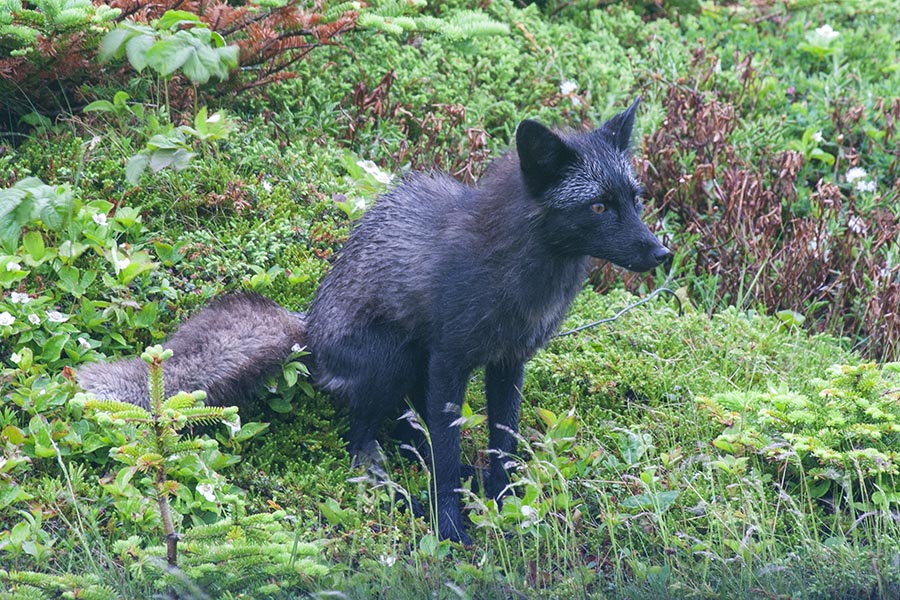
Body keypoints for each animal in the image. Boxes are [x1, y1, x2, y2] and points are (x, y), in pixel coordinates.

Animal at [77, 98, 671, 544]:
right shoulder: (450, 360)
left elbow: (501, 441)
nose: (662, 253)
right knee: (363, 441)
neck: (519, 276)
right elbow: (447, 454)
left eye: (635, 200)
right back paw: (395, 488)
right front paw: (451, 528)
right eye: (598, 207)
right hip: (396, 357)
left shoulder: (508, 363)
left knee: (406, 432)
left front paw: (502, 505)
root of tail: (309, 331)